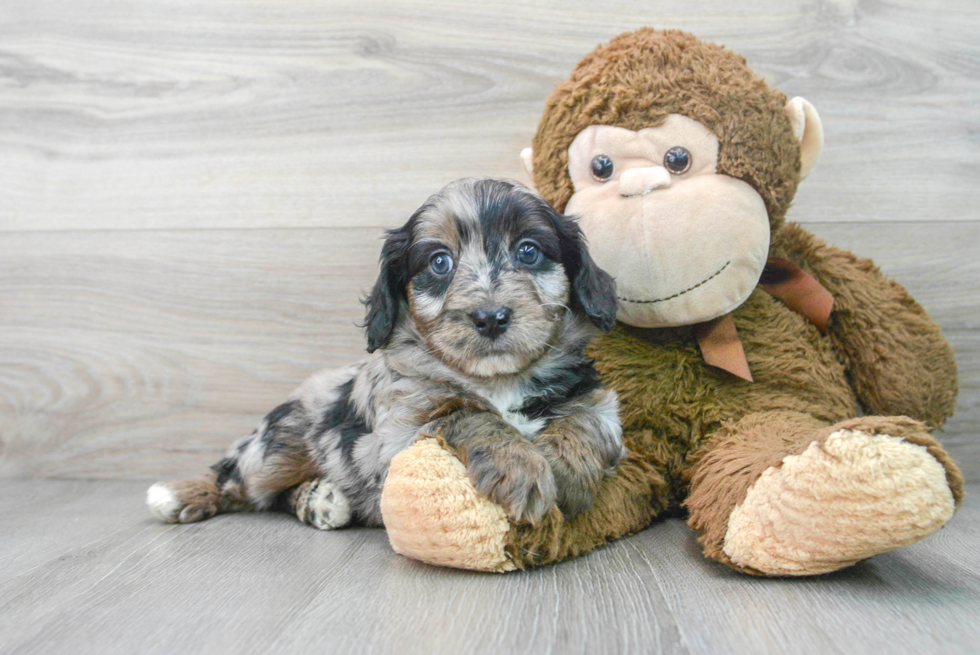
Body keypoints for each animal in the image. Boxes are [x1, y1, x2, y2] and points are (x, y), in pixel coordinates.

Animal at [147, 177, 620, 532]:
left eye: (528, 251)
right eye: (440, 262)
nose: (490, 317)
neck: (498, 380)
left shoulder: (601, 403)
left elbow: (585, 418)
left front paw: (567, 470)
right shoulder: (397, 437)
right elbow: (465, 413)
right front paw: (519, 466)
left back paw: (321, 500)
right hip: (276, 448)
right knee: (237, 479)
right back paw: (179, 494)